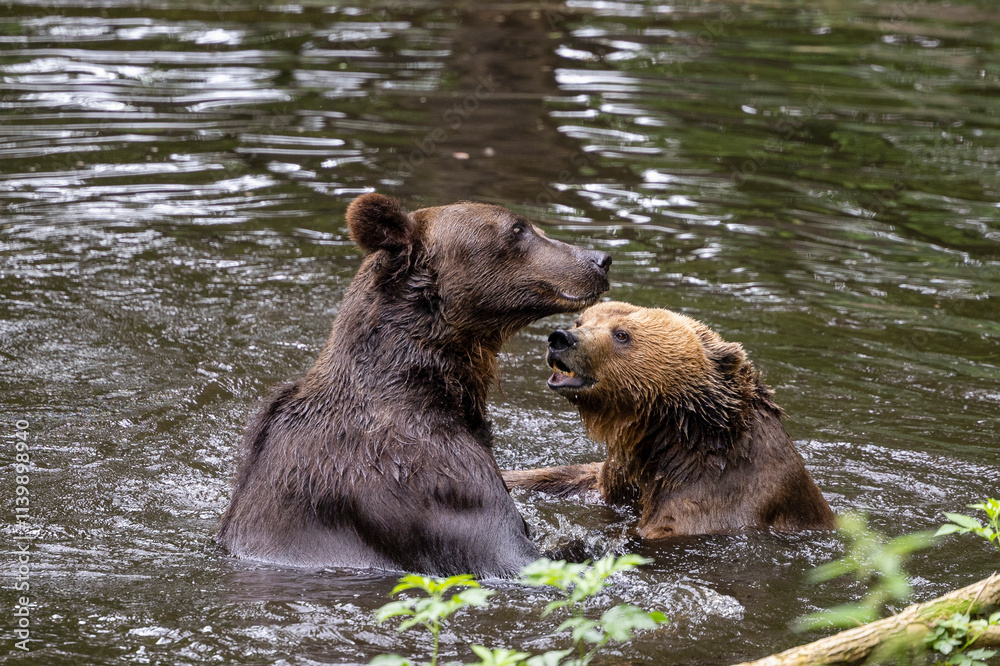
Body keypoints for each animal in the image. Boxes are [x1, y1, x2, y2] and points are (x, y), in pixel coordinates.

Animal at [502, 301, 835, 538]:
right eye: (581, 321)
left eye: (621, 334)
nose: (561, 338)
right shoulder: (621, 475)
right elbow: (574, 475)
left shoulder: (718, 495)